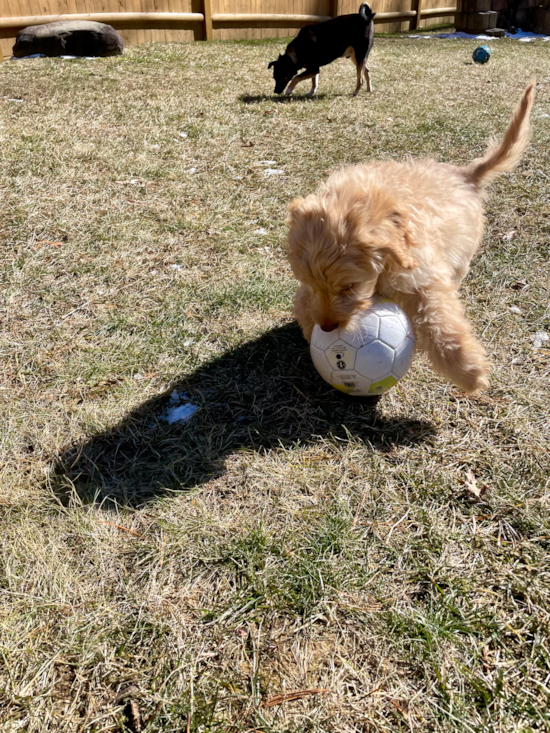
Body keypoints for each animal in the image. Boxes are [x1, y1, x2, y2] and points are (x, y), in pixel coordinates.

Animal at [286, 82, 536, 392]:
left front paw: (468, 370)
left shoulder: (424, 278)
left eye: (349, 286)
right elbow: (301, 304)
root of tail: (465, 175)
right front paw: (310, 329)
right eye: (309, 284)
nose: (329, 327)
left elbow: (440, 320)